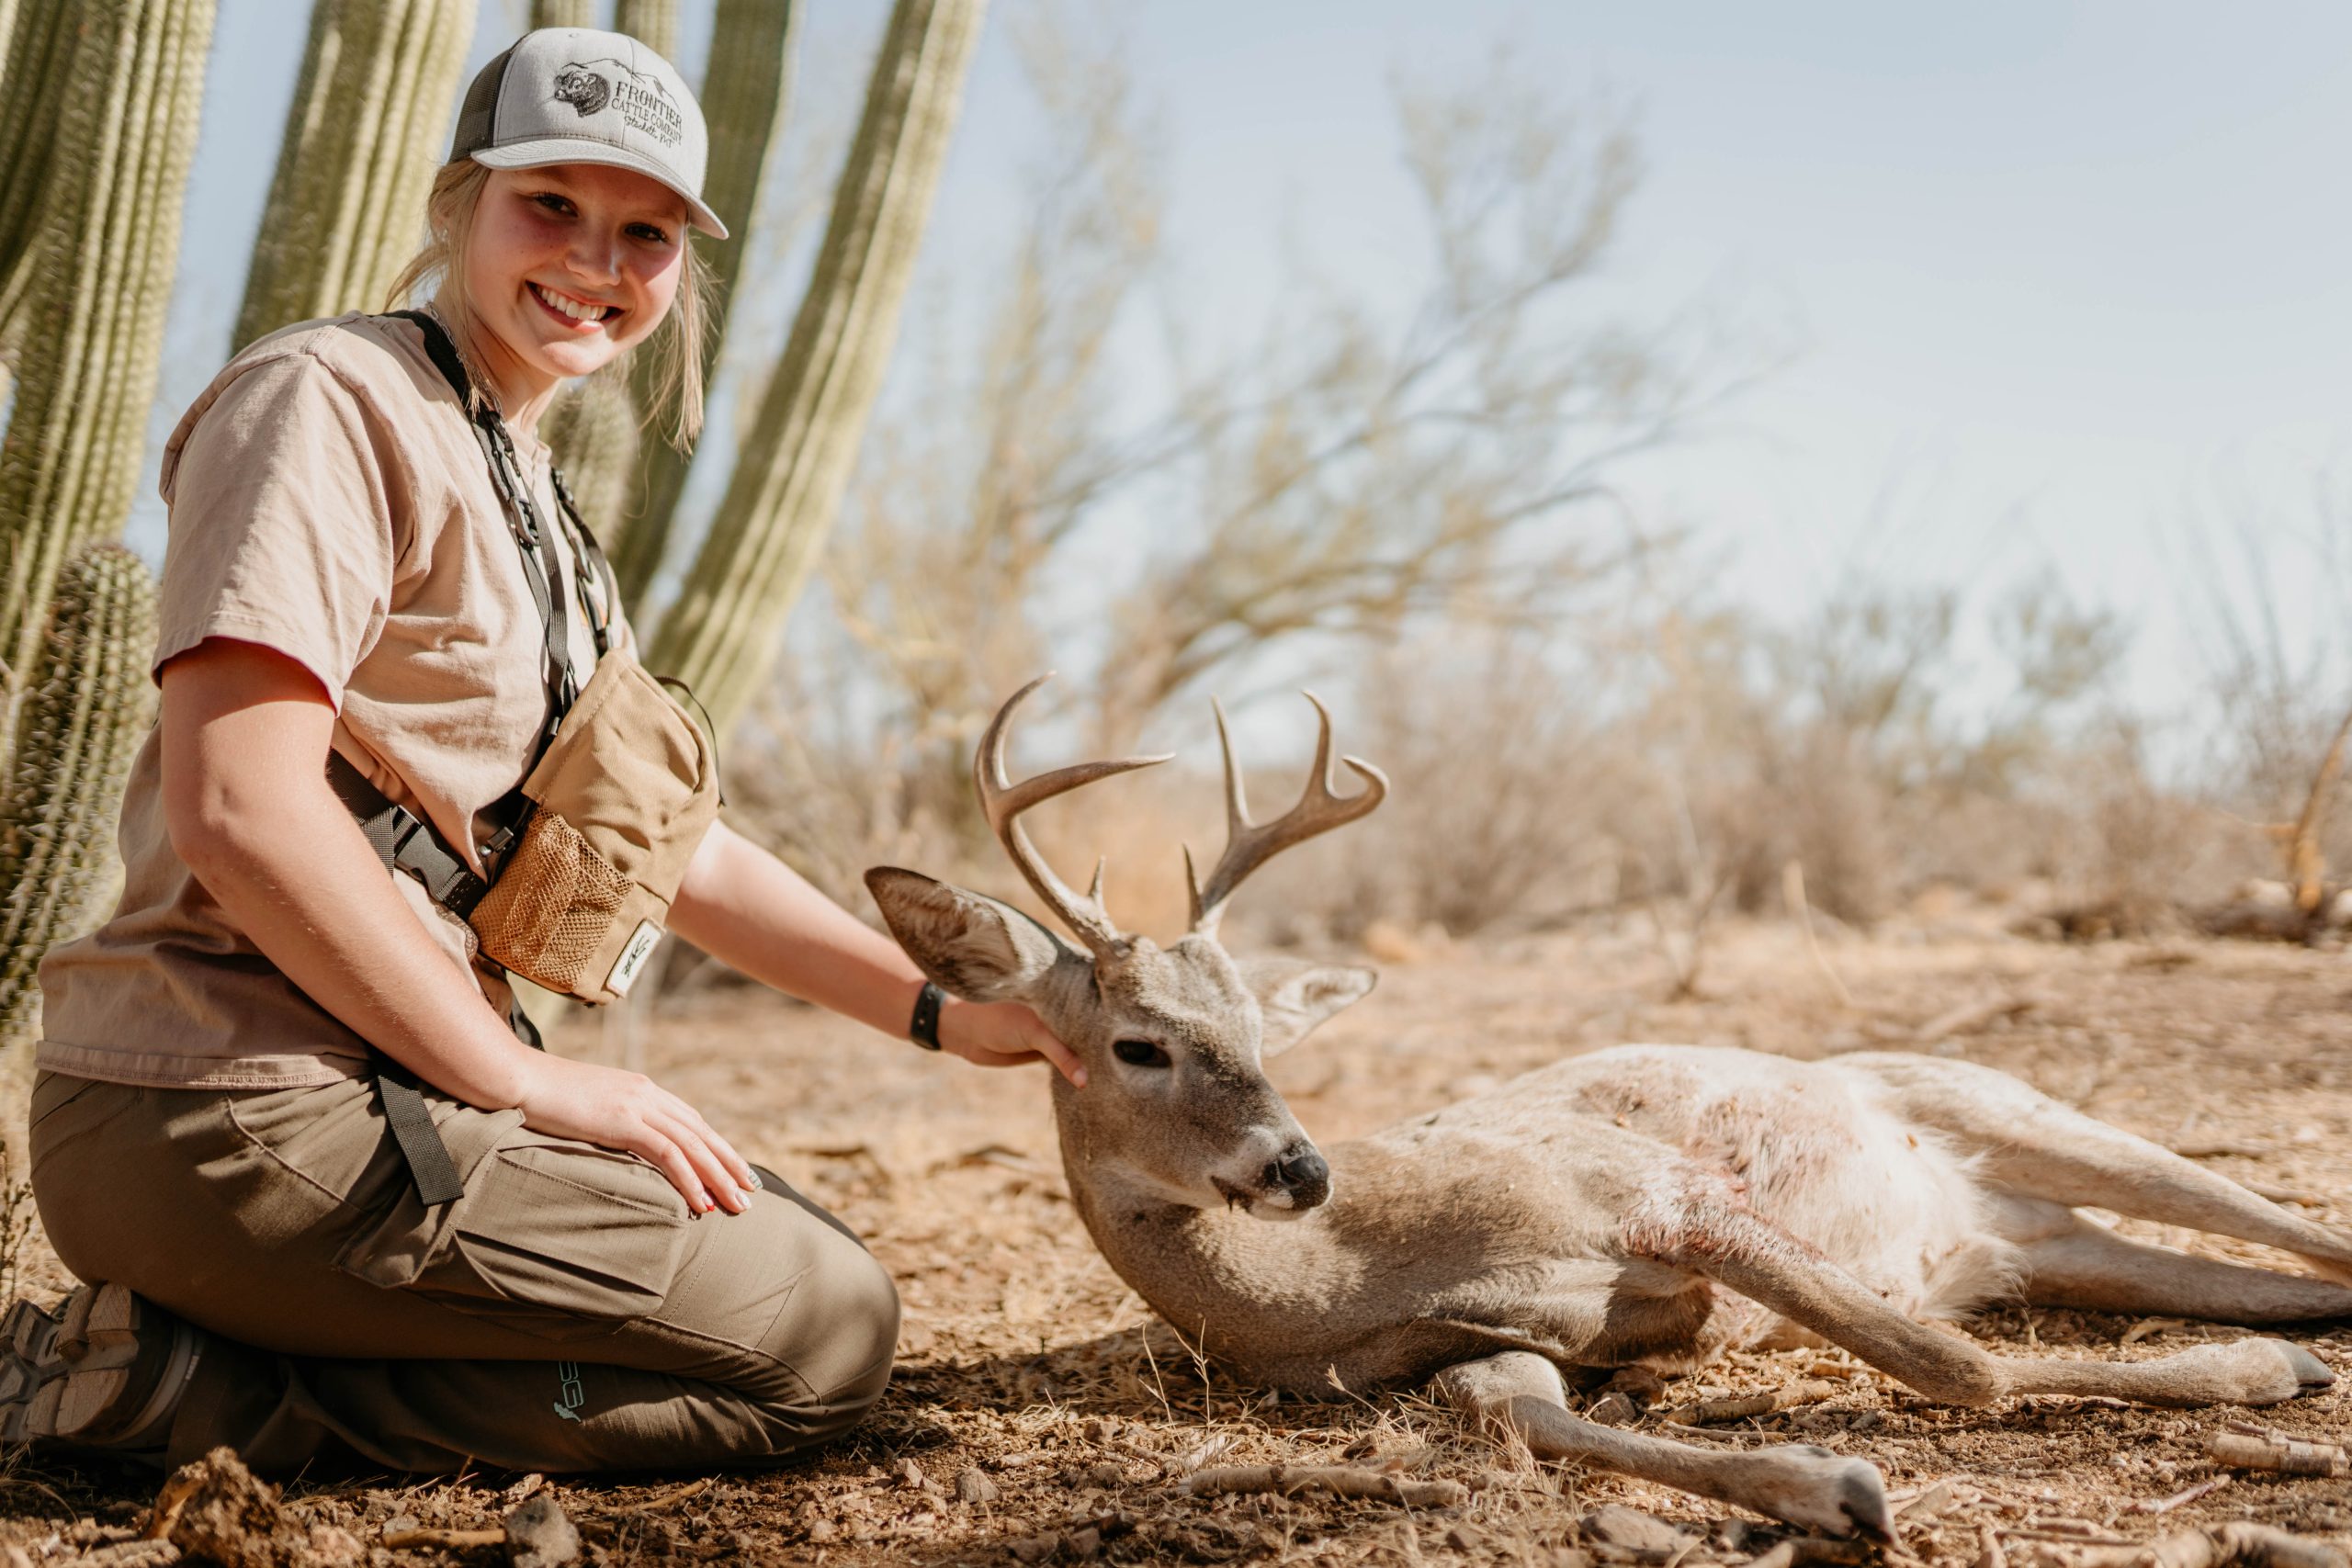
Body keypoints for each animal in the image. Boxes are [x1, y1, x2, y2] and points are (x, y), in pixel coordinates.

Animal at [864, 678, 2351, 1539]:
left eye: (1261, 1031)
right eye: (1138, 1045)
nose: (1296, 1166)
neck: (1352, 1274)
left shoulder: (1664, 1192)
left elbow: (1944, 1362)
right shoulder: (1482, 1346)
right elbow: (1525, 1416)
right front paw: (1824, 1486)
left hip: (2019, 1103)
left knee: (2302, 1231)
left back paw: (2270, 1354)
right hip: (2046, 1239)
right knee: (2279, 1278)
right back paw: (2284, 1346)